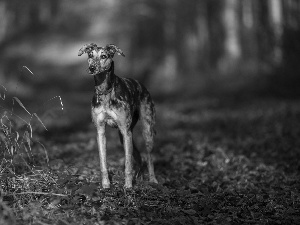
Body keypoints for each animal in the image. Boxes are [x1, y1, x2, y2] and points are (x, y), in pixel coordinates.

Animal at [78, 42, 158, 188]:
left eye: (104, 56)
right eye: (90, 55)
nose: (92, 68)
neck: (105, 91)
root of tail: (141, 85)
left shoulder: (126, 131)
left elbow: (127, 163)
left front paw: (128, 186)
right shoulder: (101, 131)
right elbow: (103, 162)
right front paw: (105, 185)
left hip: (146, 131)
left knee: (149, 157)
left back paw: (152, 179)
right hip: (124, 136)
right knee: (138, 156)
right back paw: (140, 176)